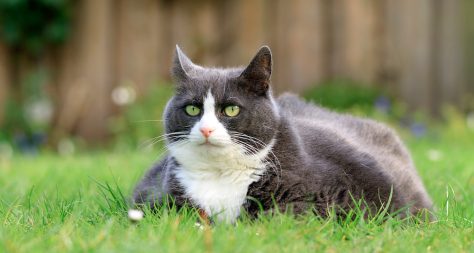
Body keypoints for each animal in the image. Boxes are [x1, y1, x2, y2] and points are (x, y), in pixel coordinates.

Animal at [132, 45, 434, 223]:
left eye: (231, 109)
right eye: (193, 109)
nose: (206, 129)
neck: (221, 174)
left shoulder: (333, 194)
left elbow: (278, 216)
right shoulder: (155, 193)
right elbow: (172, 212)